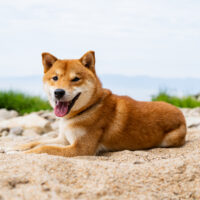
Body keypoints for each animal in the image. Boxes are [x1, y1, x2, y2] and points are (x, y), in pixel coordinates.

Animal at [15, 50, 186, 157]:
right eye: (55, 78)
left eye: (75, 79)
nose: (59, 92)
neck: (87, 109)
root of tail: (180, 113)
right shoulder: (63, 139)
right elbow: (36, 142)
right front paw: (16, 147)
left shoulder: (80, 149)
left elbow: (43, 148)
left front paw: (21, 154)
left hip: (170, 139)